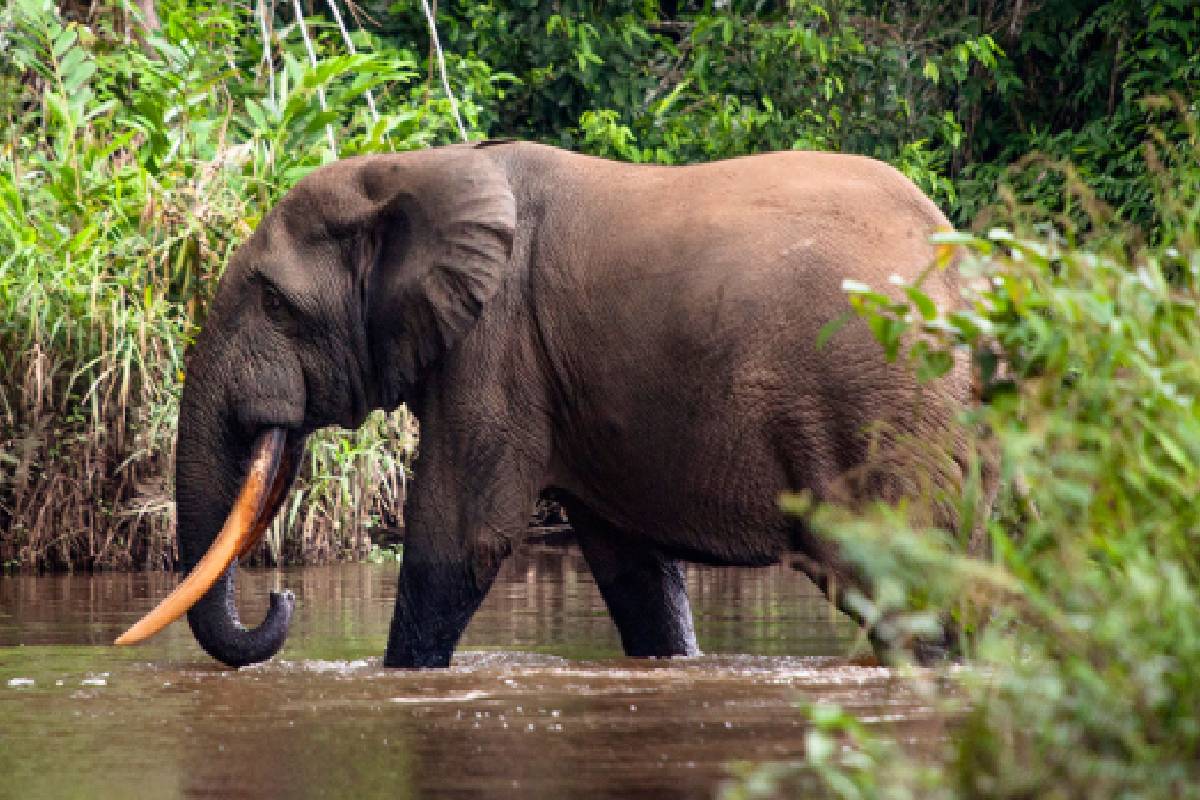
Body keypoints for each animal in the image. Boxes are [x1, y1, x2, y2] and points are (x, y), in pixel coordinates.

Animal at [116, 141, 992, 668]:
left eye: (272, 301)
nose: (282, 595)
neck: (411, 169)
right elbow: (634, 570)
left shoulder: (496, 342)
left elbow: (460, 536)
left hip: (884, 404)